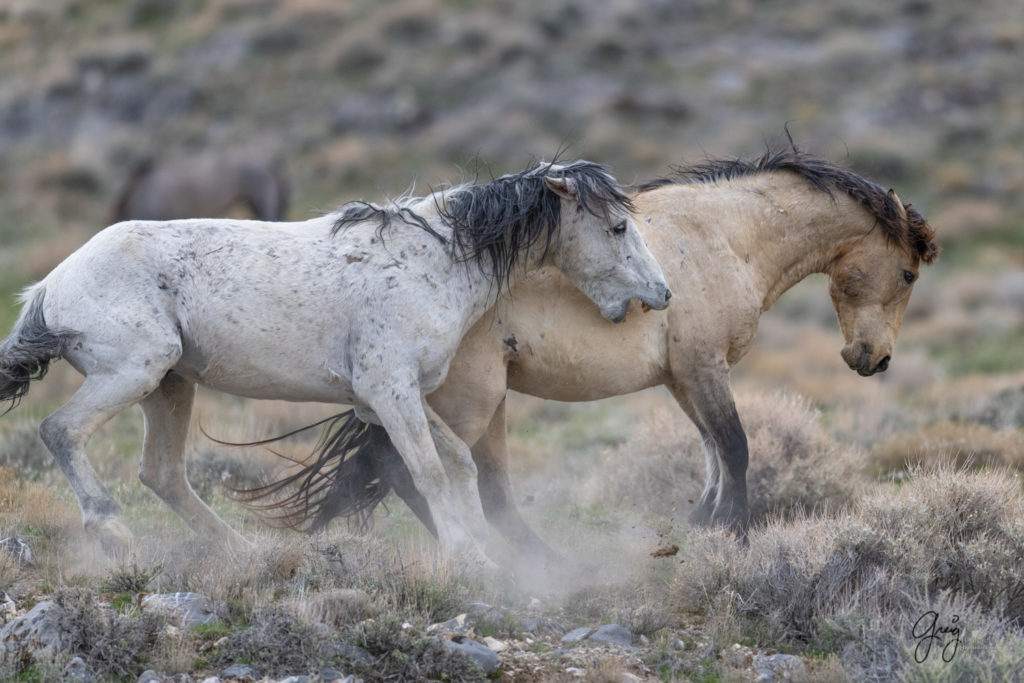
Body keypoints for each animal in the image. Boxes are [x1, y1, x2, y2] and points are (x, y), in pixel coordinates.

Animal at [0, 160, 671, 561]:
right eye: (617, 228)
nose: (661, 294)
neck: (435, 261)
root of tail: (49, 288)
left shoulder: (394, 399)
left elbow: (457, 464)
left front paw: (482, 551)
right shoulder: (390, 392)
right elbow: (429, 471)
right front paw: (465, 557)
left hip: (169, 384)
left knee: (162, 474)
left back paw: (244, 552)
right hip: (135, 371)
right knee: (61, 431)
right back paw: (111, 529)